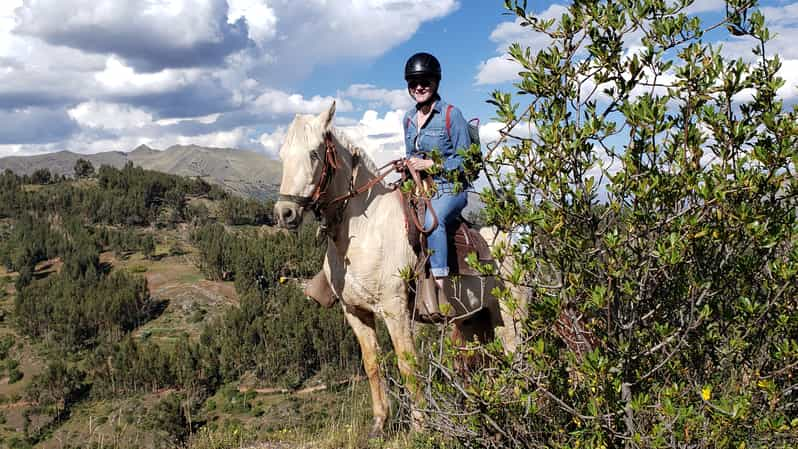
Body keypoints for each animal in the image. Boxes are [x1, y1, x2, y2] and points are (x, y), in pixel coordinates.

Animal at [272, 101, 528, 434]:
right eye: (282, 154)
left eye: (314, 153)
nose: (285, 213)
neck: (363, 232)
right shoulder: (355, 312)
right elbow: (372, 364)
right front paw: (380, 423)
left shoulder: (396, 309)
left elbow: (408, 364)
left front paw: (420, 428)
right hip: (474, 320)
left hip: (511, 314)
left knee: (518, 355)